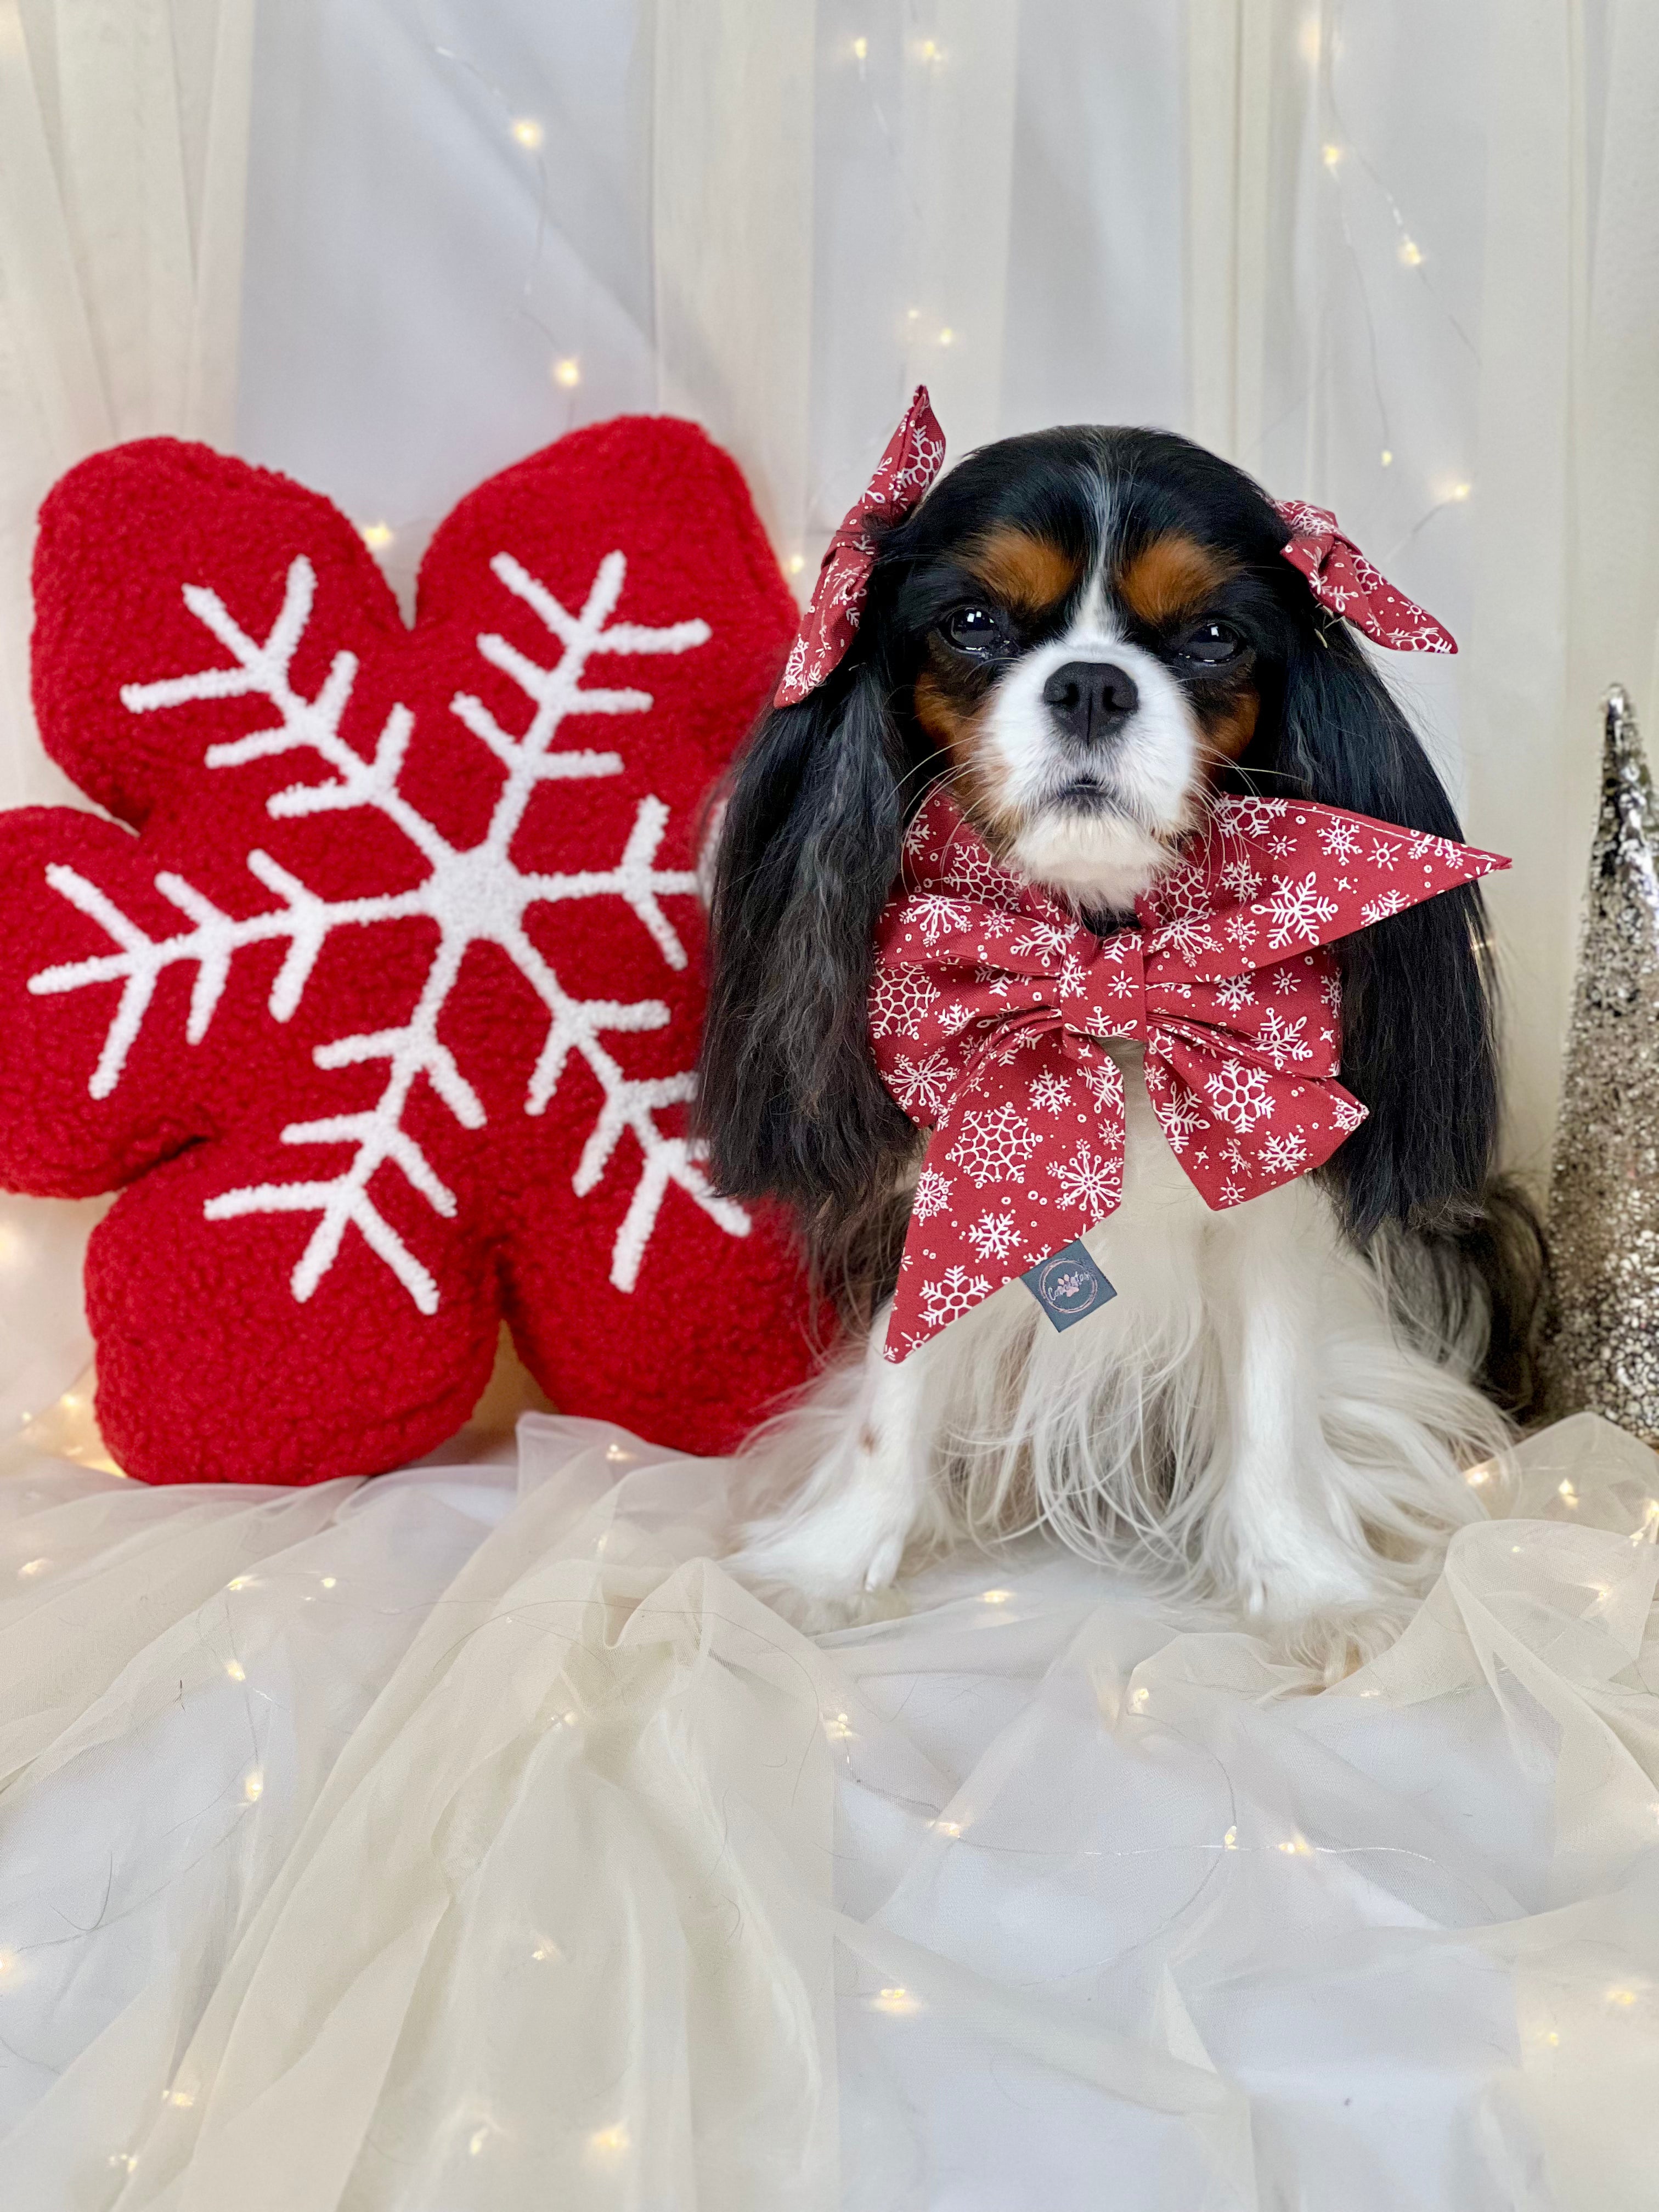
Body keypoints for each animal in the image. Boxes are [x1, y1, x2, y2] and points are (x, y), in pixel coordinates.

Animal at [695, 416, 1557, 1663]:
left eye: (1211, 636)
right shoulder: (941, 1195)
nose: (1092, 684)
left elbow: (1271, 1407)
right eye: (972, 623)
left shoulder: (1273, 1204)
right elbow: (892, 1396)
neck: (1102, 965)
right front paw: (828, 1566)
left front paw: (1310, 1591)